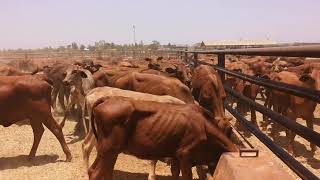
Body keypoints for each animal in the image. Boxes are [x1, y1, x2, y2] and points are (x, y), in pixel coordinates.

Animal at [87, 97, 238, 180]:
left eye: (230, 129)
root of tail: (108, 99)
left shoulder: (176, 158)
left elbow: (175, 175)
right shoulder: (185, 155)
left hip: (108, 150)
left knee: (102, 171)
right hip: (109, 149)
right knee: (95, 172)